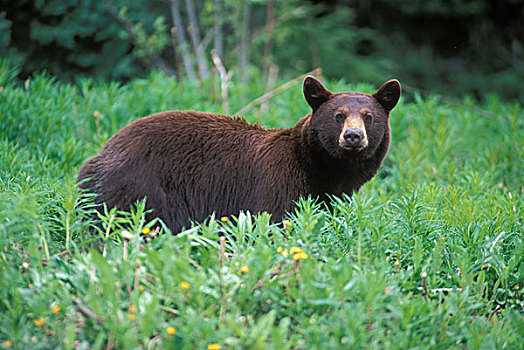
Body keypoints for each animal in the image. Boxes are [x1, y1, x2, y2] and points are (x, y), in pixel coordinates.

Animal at [77, 78, 402, 234]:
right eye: (338, 115)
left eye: (369, 116)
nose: (353, 136)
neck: (317, 167)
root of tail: (100, 154)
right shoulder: (278, 183)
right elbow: (275, 220)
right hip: (143, 189)